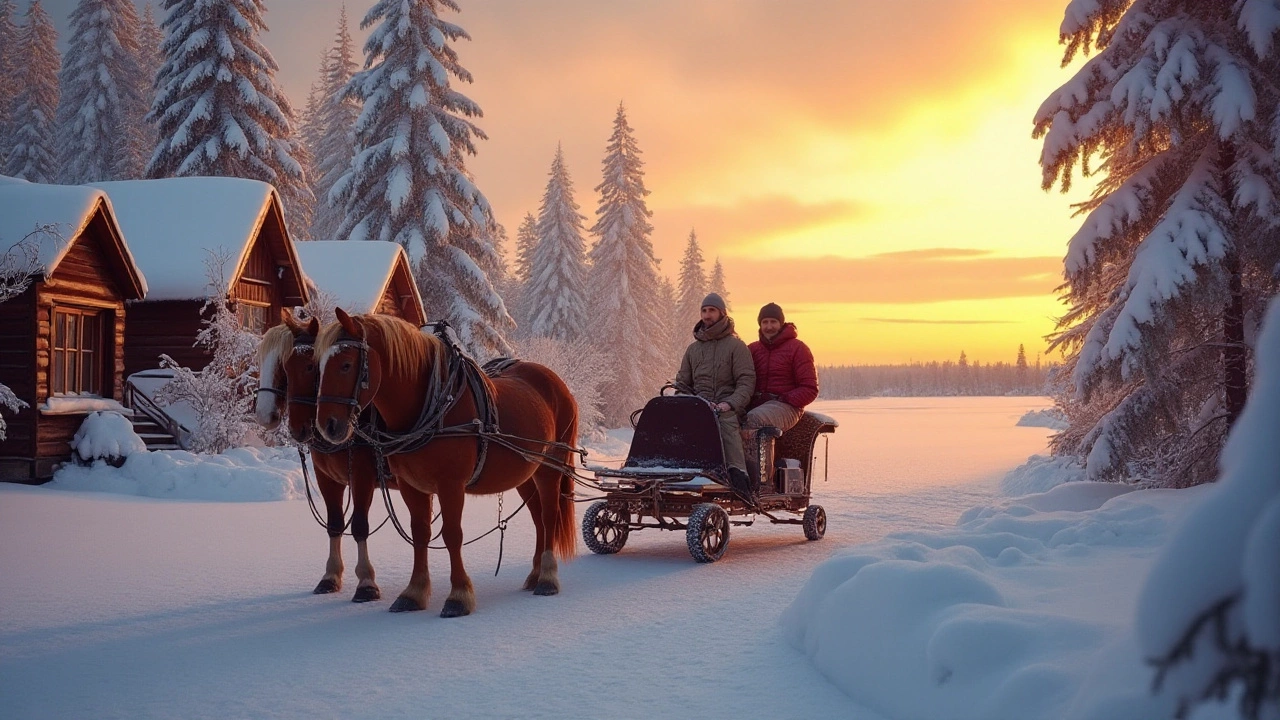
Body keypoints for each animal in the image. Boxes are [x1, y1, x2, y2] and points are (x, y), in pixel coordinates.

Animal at [254, 312, 384, 599]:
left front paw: (366, 581)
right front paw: (331, 575)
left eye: (310, 366)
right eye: (287, 367)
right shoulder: (327, 477)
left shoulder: (363, 476)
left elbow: (359, 525)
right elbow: (334, 523)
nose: (264, 415)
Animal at [312, 304, 578, 614]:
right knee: (537, 518)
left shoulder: (451, 485)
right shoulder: (411, 485)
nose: (327, 426)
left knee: (549, 516)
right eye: (317, 366)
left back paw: (547, 577)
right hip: (525, 472)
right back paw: (535, 574)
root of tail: (555, 380)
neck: (429, 408)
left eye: (345, 365)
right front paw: (414, 592)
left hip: (550, 465)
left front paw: (459, 595)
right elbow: (420, 533)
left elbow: (452, 534)